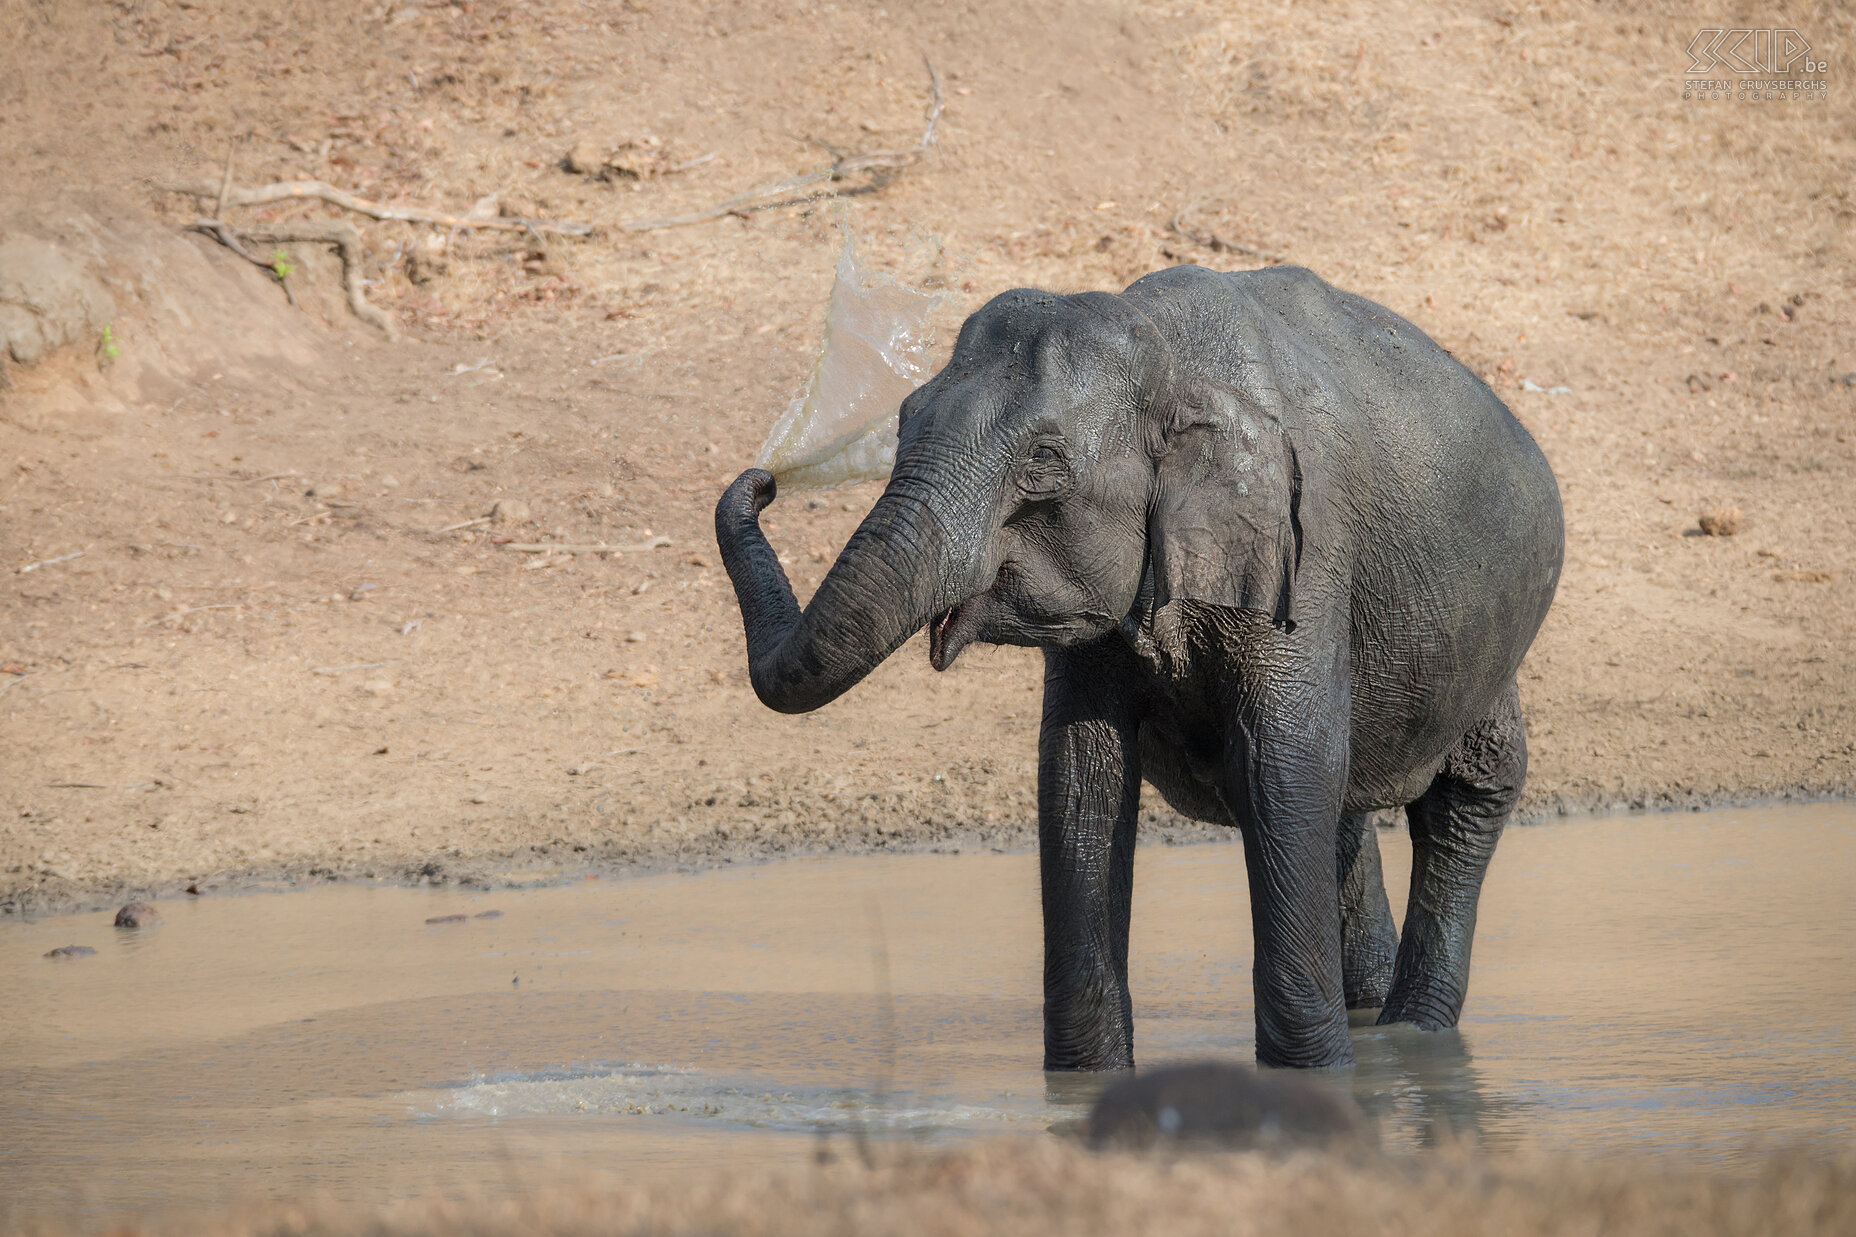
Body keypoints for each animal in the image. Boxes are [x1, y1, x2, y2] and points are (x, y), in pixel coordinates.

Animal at [716, 261, 1559, 1069]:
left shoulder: (1304, 556)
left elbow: (1281, 766)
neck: (1159, 349)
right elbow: (1081, 772)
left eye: (1043, 463)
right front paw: (1084, 1081)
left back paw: (1414, 1036)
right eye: (902, 419)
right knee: (1349, 802)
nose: (766, 480)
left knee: (1468, 790)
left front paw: (1314, 1079)